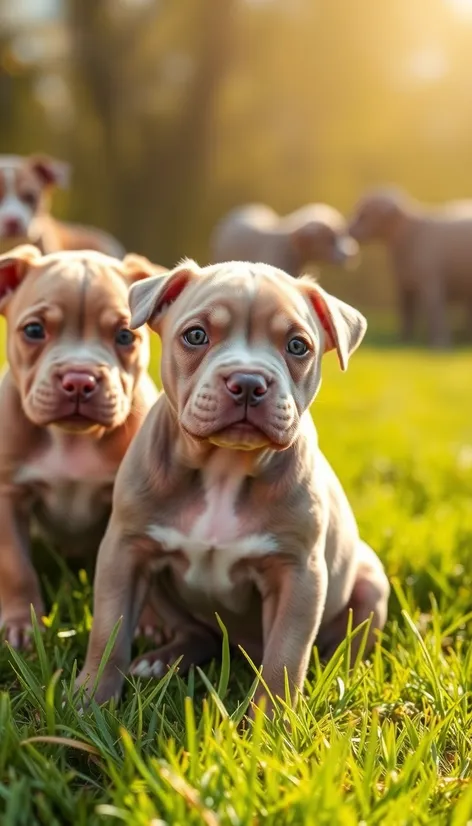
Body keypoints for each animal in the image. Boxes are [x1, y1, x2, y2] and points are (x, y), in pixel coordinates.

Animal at [0, 245, 162, 644]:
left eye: (125, 336)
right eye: (34, 330)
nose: (78, 379)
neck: (72, 440)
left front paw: (150, 624)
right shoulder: (9, 496)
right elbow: (16, 567)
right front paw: (21, 626)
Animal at [346, 186, 472, 344]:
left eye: (364, 214)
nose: (348, 230)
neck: (412, 233)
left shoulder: (431, 281)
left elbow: (434, 312)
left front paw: (440, 342)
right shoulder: (404, 285)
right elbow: (407, 314)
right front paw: (404, 341)